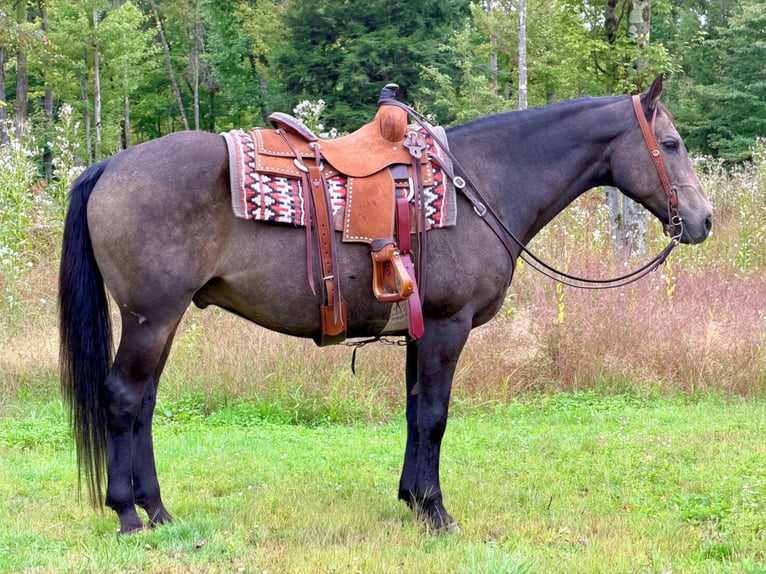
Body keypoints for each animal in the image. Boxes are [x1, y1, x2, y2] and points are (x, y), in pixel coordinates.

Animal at [59, 75, 712, 534]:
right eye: (672, 143)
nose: (704, 219)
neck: (480, 184)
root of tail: (111, 165)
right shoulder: (448, 326)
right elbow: (435, 416)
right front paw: (437, 512)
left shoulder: (420, 330)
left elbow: (414, 412)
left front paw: (412, 500)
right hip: (151, 318)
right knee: (123, 399)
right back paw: (127, 514)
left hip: (162, 322)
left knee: (143, 404)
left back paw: (159, 511)